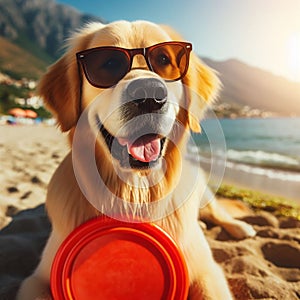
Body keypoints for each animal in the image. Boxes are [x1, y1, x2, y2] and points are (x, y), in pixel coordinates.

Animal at [17, 19, 255, 298]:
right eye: (109, 63)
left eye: (163, 59)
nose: (149, 94)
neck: (134, 192)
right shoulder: (36, 279)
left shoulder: (208, 272)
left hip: (203, 190)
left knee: (218, 212)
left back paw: (240, 227)